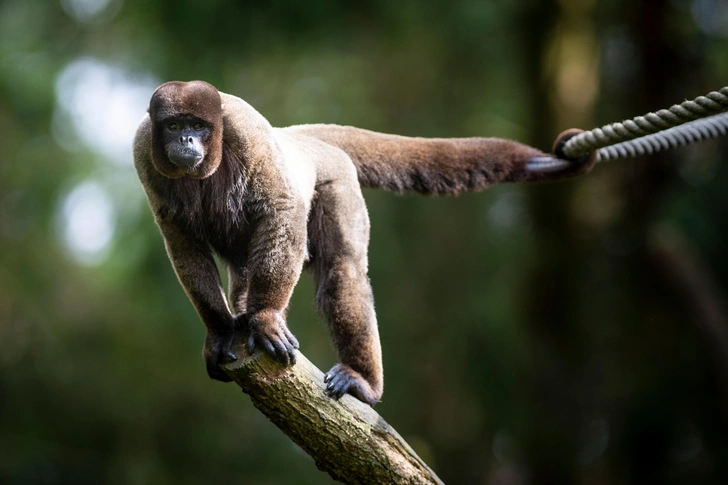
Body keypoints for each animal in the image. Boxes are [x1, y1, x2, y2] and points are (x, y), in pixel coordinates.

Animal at [132, 79, 596, 404]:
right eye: (174, 126)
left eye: (198, 126)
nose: (186, 139)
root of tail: (299, 140)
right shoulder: (143, 150)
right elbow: (181, 241)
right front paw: (220, 330)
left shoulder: (246, 130)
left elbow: (282, 205)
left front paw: (265, 318)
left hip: (337, 180)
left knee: (343, 272)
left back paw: (363, 382)